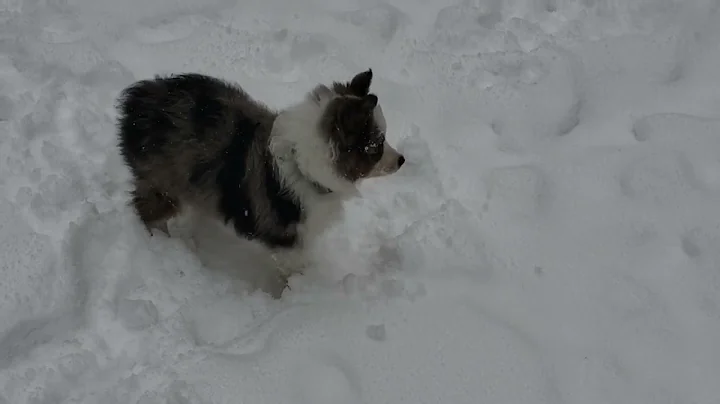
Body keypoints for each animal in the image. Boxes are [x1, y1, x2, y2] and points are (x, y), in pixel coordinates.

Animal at [113, 69, 404, 282]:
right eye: (376, 146)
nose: (401, 160)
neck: (304, 161)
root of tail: (138, 100)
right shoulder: (286, 237)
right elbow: (295, 268)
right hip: (164, 183)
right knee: (147, 211)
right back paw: (158, 244)